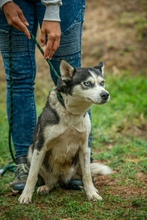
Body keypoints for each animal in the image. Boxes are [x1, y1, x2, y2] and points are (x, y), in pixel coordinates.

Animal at [19, 59, 112, 204]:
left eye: (102, 83)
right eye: (87, 83)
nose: (105, 94)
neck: (72, 113)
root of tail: (61, 178)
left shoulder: (85, 147)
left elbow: (87, 175)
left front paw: (91, 194)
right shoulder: (40, 146)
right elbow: (32, 176)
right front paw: (25, 196)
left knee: (82, 174)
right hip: (31, 151)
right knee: (49, 181)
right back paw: (45, 187)